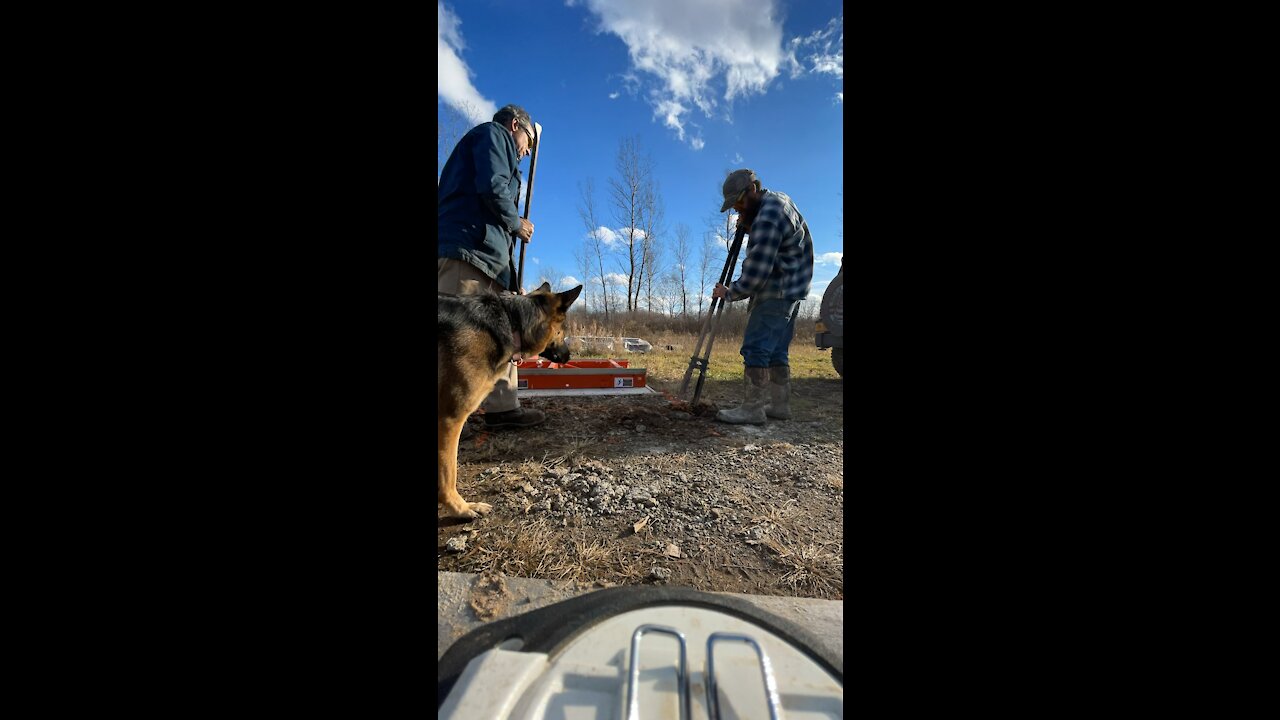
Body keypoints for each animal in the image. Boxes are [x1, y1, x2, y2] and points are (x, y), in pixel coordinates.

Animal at [437, 279, 583, 515]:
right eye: (562, 331)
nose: (568, 357)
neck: (510, 322)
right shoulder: (450, 417)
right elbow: (448, 471)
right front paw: (460, 507)